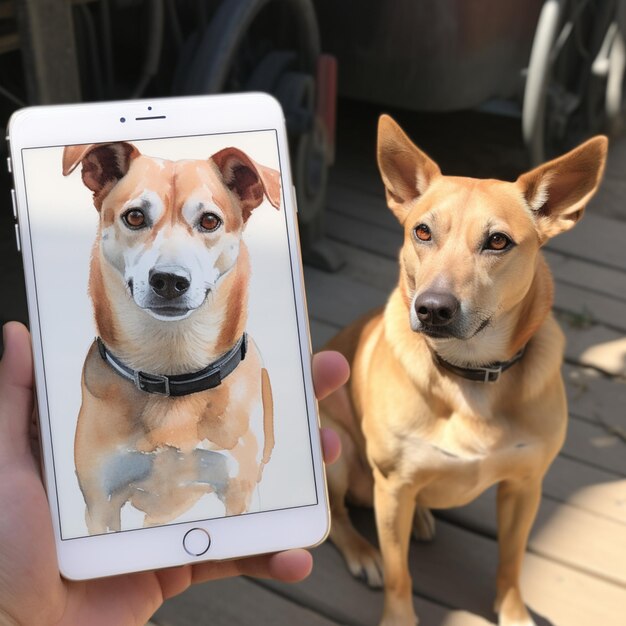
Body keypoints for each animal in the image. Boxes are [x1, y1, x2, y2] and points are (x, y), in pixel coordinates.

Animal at [61, 141, 280, 532]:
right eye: (135, 217)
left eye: (209, 220)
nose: (169, 280)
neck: (171, 366)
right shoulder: (101, 504)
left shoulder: (238, 493)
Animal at [322, 118, 604, 624]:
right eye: (422, 232)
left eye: (498, 241)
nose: (432, 308)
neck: (471, 373)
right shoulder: (393, 489)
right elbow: (399, 574)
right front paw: (398, 615)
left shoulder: (524, 487)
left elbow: (511, 564)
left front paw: (514, 613)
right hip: (335, 450)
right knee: (338, 519)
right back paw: (363, 551)